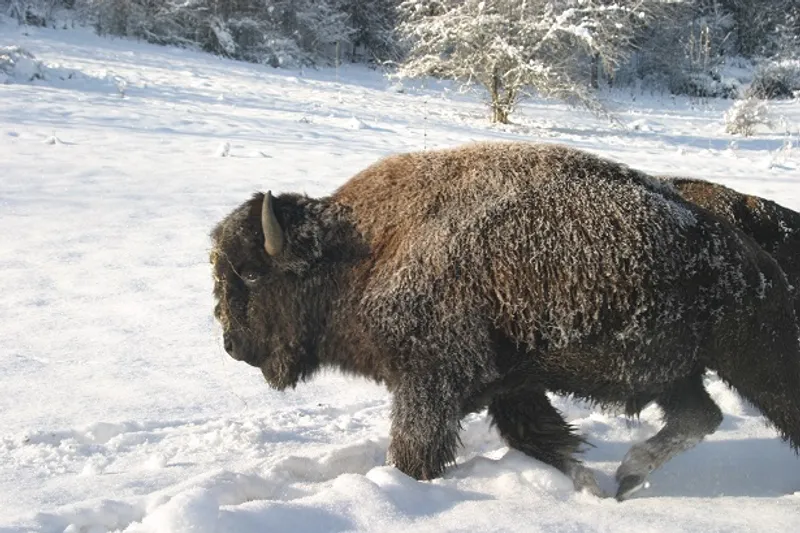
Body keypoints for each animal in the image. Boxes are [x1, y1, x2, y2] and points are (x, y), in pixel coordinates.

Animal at [211, 142, 800, 498]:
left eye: (252, 275)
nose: (231, 344)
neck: (363, 248)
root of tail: (749, 253)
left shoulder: (429, 383)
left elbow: (417, 448)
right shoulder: (513, 386)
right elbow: (541, 438)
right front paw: (586, 486)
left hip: (755, 360)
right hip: (677, 375)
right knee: (700, 416)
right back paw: (628, 476)